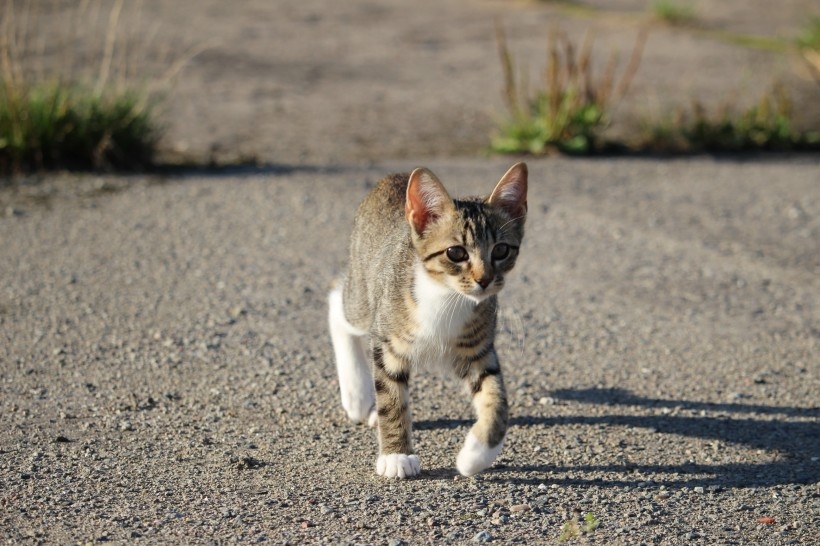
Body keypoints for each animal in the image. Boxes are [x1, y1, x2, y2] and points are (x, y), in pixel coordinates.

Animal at [326, 162, 524, 476]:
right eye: (456, 253)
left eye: (502, 250)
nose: (484, 280)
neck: (446, 297)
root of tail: (395, 176)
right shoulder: (388, 344)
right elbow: (392, 398)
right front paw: (396, 456)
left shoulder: (478, 351)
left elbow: (497, 399)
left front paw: (476, 455)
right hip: (364, 298)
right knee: (337, 300)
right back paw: (357, 396)